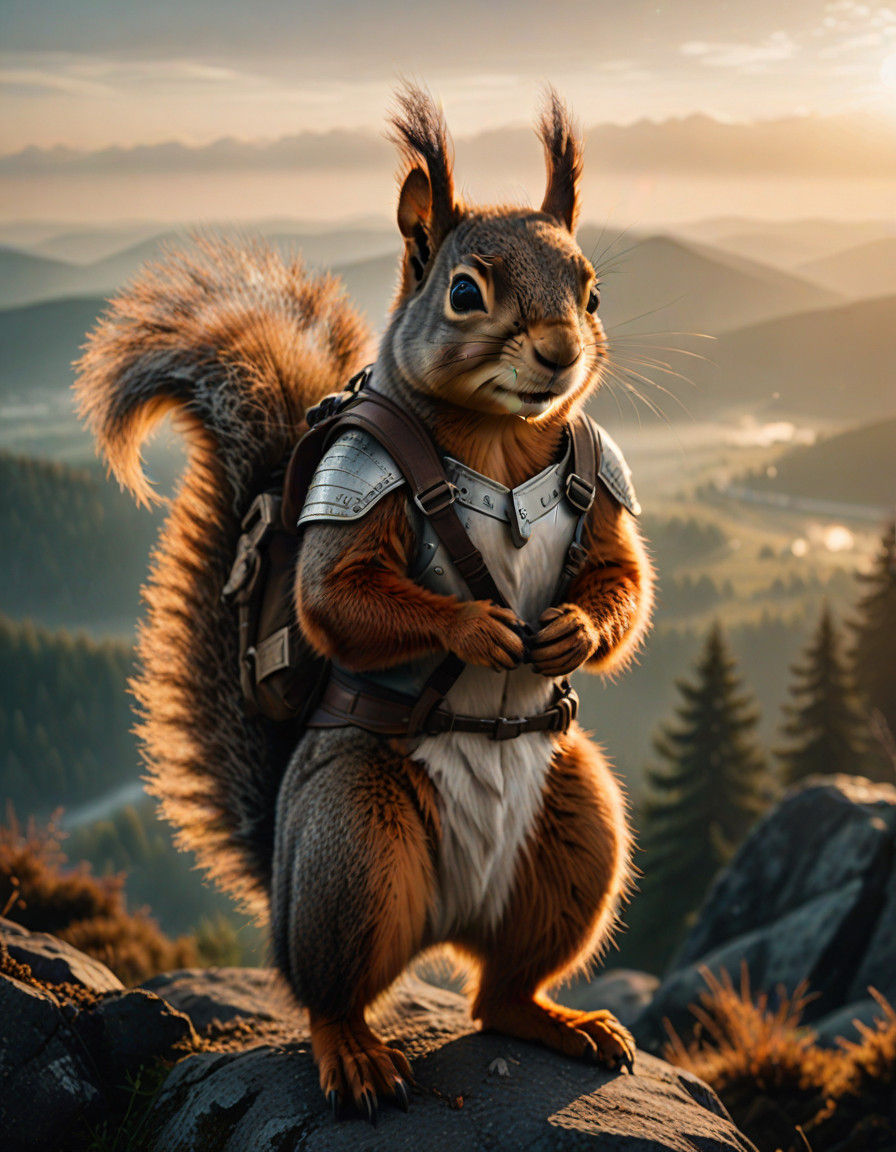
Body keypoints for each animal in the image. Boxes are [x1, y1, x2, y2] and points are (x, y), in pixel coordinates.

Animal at [74, 84, 654, 1121]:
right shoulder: (357, 479)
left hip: (577, 838)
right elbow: (335, 601)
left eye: (592, 292)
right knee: (330, 989)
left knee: (502, 991)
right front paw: (475, 627)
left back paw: (564, 1022)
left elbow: (622, 579)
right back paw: (354, 1056)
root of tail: (449, 919)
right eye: (465, 291)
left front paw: (573, 628)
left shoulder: (605, 476)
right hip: (355, 848)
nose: (560, 353)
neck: (500, 437)